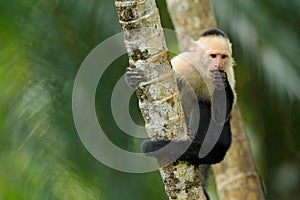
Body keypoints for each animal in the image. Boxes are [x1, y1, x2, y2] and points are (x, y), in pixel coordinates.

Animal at [125, 27, 237, 166]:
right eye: (213, 56)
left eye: (223, 57)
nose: (219, 65)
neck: (202, 71)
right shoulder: (184, 63)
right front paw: (131, 79)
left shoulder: (228, 72)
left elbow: (221, 116)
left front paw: (221, 82)